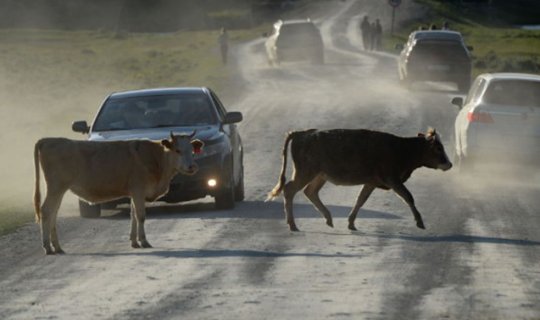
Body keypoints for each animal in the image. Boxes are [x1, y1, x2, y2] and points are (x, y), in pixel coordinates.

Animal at [34, 131, 202, 254]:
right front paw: (144, 241)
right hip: (56, 187)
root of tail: (48, 140)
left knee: (53, 213)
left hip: (59, 190)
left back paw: (57, 247)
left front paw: (134, 241)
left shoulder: (134, 193)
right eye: (178, 150)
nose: (192, 167)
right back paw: (47, 247)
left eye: (192, 151)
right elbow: (140, 216)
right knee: (46, 211)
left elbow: (133, 216)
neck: (155, 158)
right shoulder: (138, 191)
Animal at [268, 129, 454, 231]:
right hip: (305, 173)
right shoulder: (392, 180)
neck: (402, 148)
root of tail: (302, 133)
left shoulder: (371, 182)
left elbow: (361, 199)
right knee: (289, 190)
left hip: (319, 175)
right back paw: (292, 224)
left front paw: (351, 222)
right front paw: (419, 221)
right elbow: (408, 197)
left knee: (310, 192)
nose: (449, 164)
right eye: (438, 148)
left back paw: (328, 218)